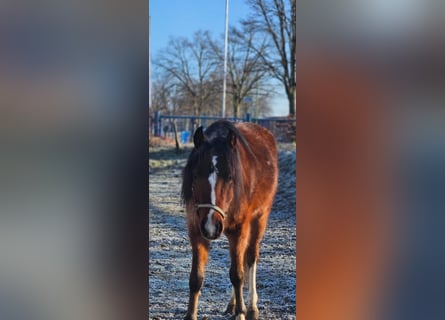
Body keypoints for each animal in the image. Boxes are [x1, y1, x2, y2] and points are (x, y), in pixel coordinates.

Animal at [180, 119, 278, 320]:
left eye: (231, 177)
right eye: (196, 174)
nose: (211, 226)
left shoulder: (239, 230)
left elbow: (237, 275)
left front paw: (241, 312)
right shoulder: (196, 230)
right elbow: (196, 277)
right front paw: (190, 314)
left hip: (259, 218)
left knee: (250, 257)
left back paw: (251, 307)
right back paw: (232, 304)